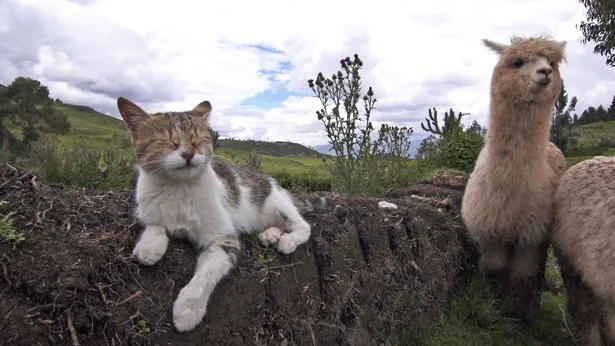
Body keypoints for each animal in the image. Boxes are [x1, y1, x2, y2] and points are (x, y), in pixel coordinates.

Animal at [116, 96, 336, 332]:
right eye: (167, 141)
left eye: (197, 140)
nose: (188, 153)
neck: (178, 189)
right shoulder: (147, 210)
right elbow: (155, 225)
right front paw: (149, 247)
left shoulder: (224, 239)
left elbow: (206, 275)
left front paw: (188, 309)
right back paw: (271, 235)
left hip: (276, 204)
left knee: (303, 226)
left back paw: (288, 240)